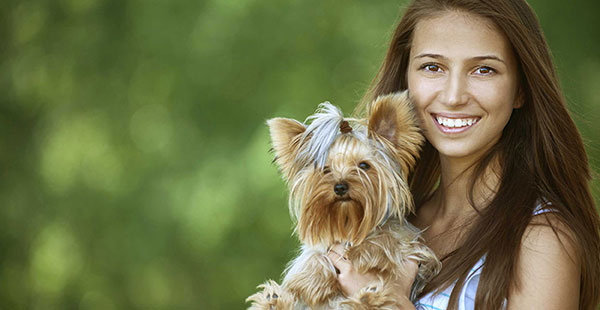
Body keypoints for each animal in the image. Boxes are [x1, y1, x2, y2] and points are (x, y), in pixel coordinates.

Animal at [247, 92, 440, 310]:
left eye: (364, 165)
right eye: (325, 169)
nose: (340, 187)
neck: (348, 221)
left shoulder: (413, 247)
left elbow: (390, 237)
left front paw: (365, 252)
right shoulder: (319, 247)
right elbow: (312, 256)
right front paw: (313, 280)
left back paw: (368, 298)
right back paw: (273, 300)